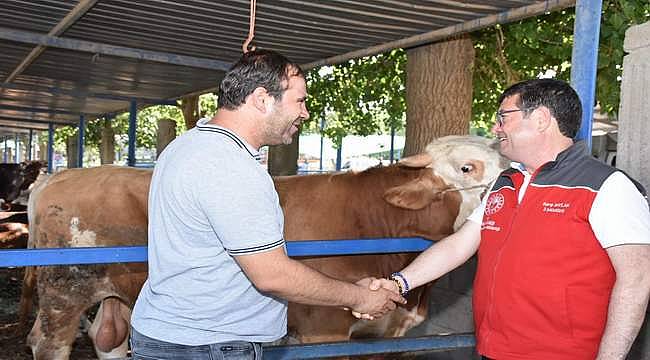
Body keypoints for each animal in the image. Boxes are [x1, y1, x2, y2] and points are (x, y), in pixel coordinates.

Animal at [21, 136, 506, 358]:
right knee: (47, 342)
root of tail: (61, 176)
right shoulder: (323, 328)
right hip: (64, 292)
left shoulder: (387, 334)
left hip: (115, 295)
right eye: (468, 167)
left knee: (108, 339)